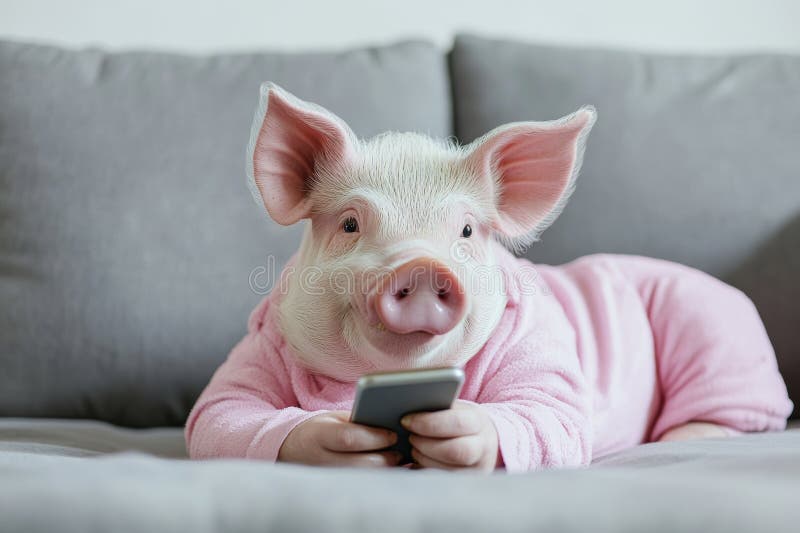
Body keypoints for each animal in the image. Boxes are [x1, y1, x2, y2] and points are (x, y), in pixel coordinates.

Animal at [185, 83, 793, 472]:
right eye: (351, 224)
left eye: (468, 230)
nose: (420, 266)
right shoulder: (262, 342)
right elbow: (222, 413)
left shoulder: (536, 340)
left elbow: (551, 410)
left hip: (715, 336)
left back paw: (682, 436)